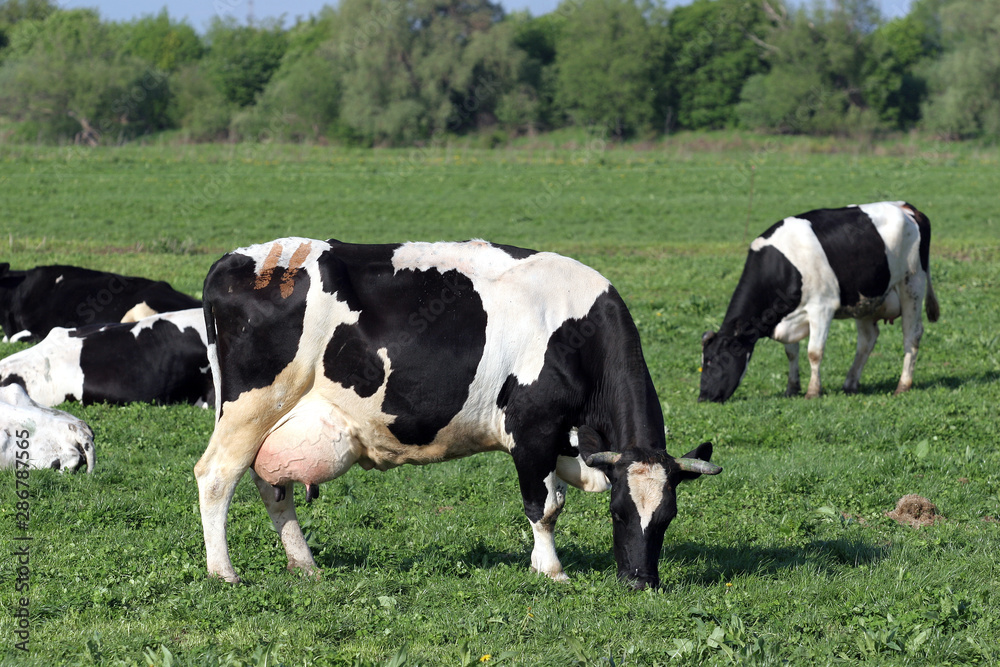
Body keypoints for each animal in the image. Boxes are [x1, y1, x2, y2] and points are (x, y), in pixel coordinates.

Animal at [195, 239, 724, 588]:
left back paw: (304, 564)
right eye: (618, 512)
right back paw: (224, 572)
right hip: (251, 408)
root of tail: (239, 258)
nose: (640, 581)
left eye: (668, 517)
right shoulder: (532, 428)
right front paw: (551, 571)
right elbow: (545, 505)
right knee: (217, 476)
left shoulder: (563, 440)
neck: (578, 330)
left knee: (271, 486)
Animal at [700, 201, 940, 404]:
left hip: (912, 284)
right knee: (867, 340)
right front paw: (791, 389)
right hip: (866, 300)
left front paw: (813, 391)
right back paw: (850, 383)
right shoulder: (786, 314)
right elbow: (791, 353)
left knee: (912, 335)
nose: (703, 397)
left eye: (712, 360)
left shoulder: (822, 307)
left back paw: (903, 385)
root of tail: (906, 207)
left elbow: (814, 352)